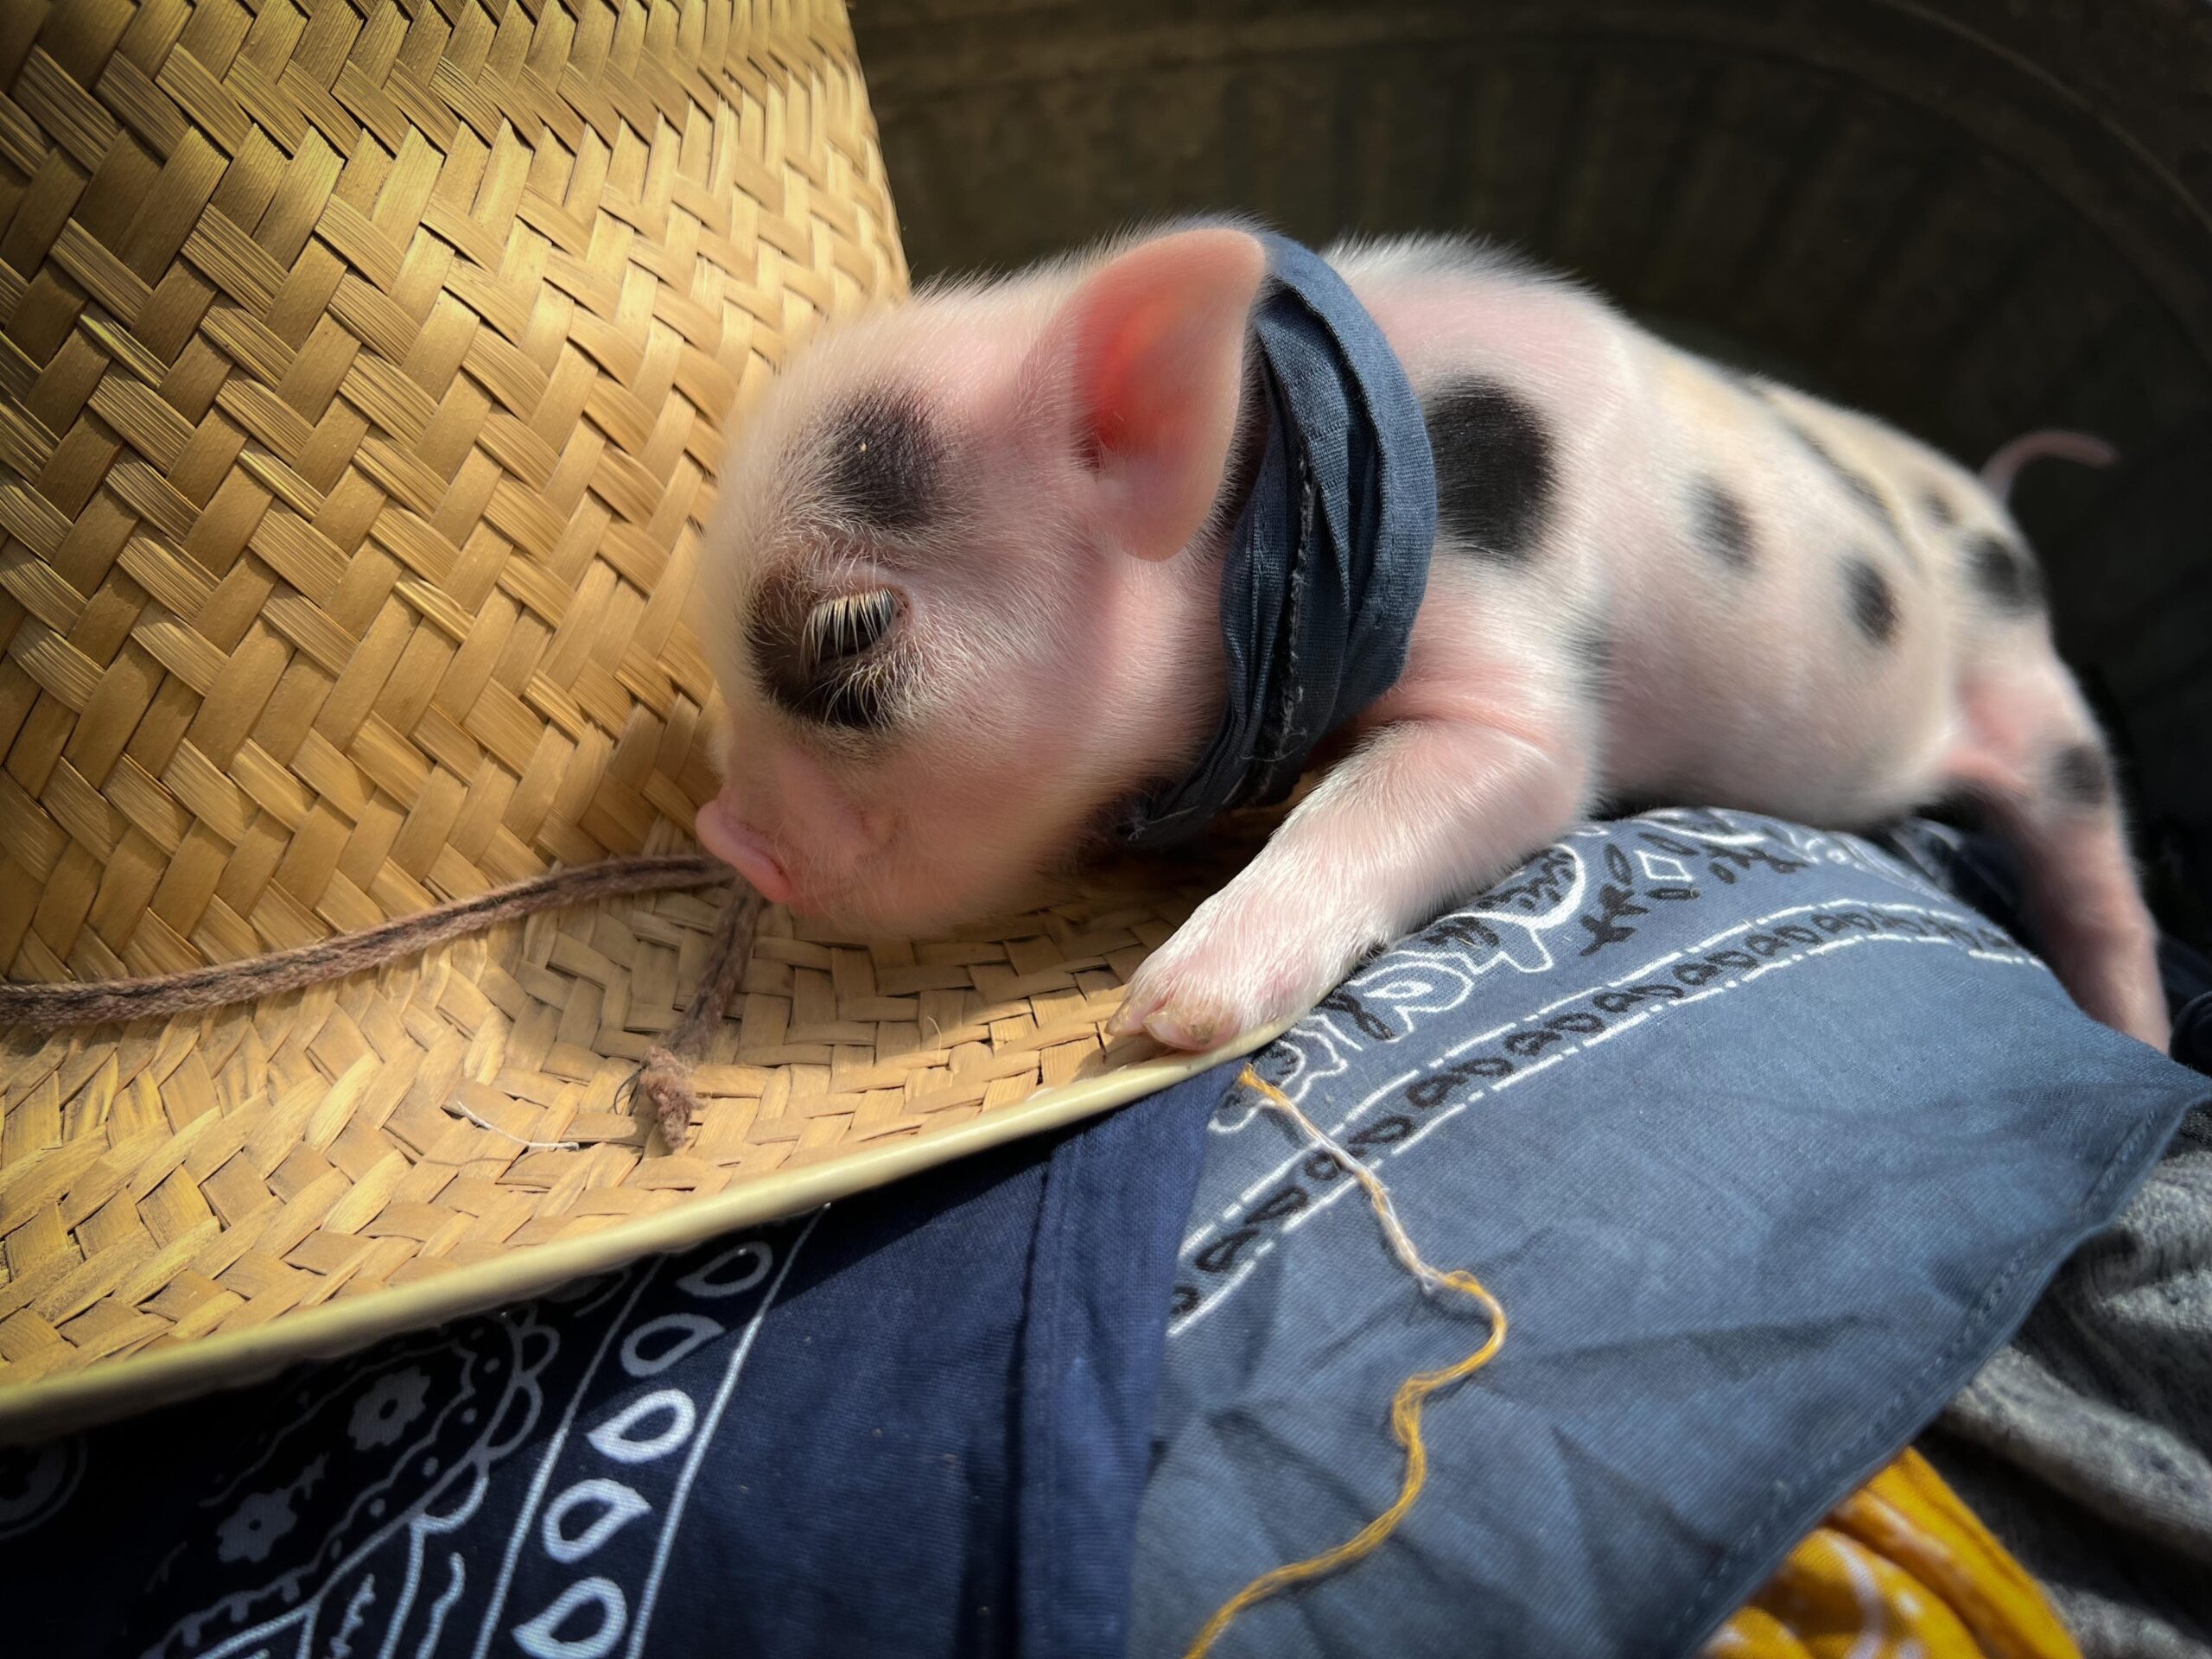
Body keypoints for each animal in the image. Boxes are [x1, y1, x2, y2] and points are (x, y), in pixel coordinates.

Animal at [691, 221, 2170, 1056]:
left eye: (852, 632)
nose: (724, 836)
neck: (1284, 511)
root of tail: (1996, 509)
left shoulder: (1517, 676)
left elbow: (1449, 780)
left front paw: (1163, 1016)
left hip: (2037, 701)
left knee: (2096, 864)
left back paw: (2145, 1042)